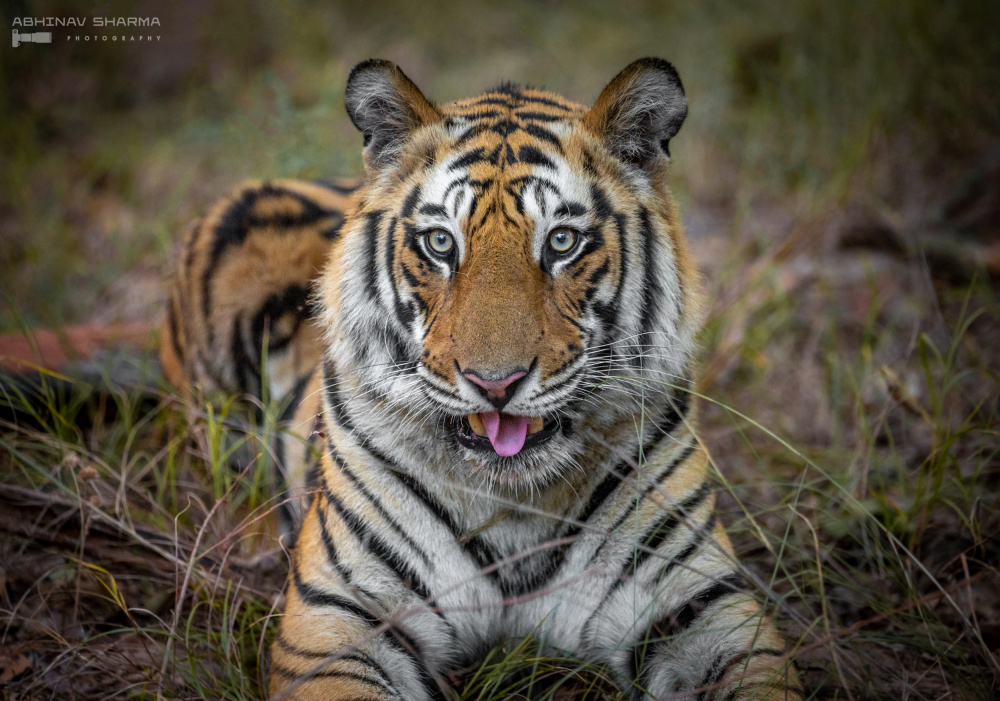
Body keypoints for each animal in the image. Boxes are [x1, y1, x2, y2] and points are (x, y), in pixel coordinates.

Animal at [164, 57, 804, 696]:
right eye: (440, 242)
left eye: (562, 242)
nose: (495, 384)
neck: (517, 506)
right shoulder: (341, 615)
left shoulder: (702, 602)